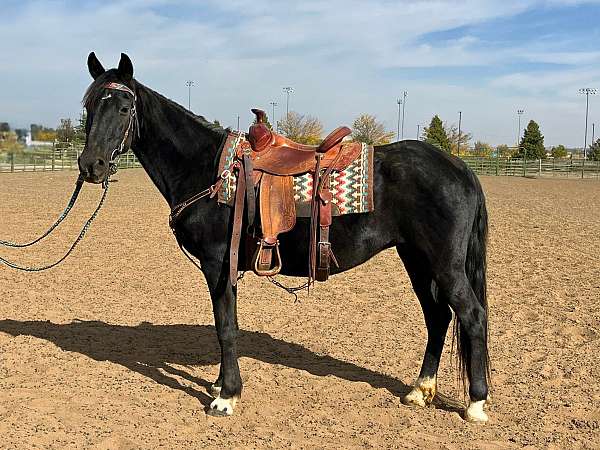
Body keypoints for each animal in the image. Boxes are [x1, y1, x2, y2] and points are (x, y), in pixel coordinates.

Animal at [78, 52, 492, 422]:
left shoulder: (217, 264)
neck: (207, 168)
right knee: (437, 316)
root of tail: (459, 167)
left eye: (123, 108)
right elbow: (225, 324)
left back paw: (475, 403)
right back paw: (420, 391)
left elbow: (225, 327)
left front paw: (226, 397)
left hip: (444, 263)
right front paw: (220, 384)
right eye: (90, 106)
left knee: (471, 315)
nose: (90, 165)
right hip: (417, 259)